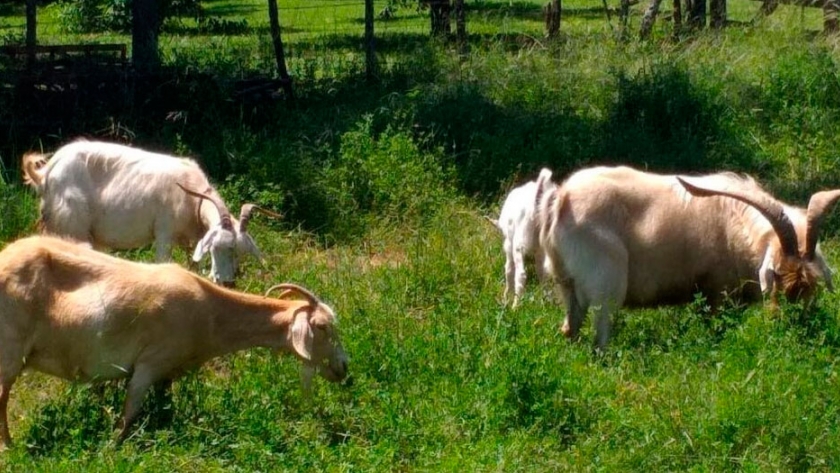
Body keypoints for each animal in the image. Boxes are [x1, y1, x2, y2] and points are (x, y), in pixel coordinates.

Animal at [0, 235, 349, 448]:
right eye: (322, 327)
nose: (344, 368)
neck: (210, 313)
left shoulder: (166, 374)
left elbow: (163, 407)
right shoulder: (150, 362)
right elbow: (129, 414)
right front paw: (112, 448)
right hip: (10, 349)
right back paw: (11, 446)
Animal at [21, 140, 280, 287]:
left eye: (241, 253)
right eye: (217, 248)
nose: (228, 283)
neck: (191, 193)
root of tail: (46, 172)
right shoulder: (164, 232)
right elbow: (163, 262)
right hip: (71, 225)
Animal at [489, 168, 558, 307]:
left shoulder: (509, 245)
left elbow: (508, 269)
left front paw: (505, 297)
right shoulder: (539, 250)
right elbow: (541, 271)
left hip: (519, 243)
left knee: (521, 274)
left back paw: (515, 306)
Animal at [537, 165, 840, 350]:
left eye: (812, 285)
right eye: (775, 274)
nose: (790, 321)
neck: (735, 223)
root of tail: (561, 199)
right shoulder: (717, 294)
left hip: (567, 284)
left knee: (570, 328)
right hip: (606, 286)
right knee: (600, 339)